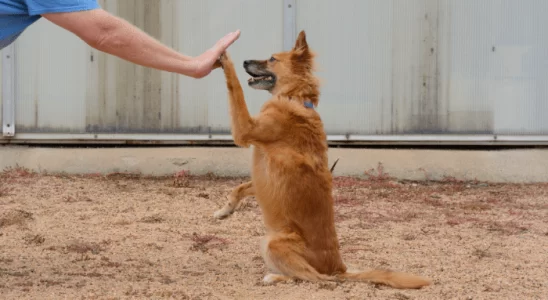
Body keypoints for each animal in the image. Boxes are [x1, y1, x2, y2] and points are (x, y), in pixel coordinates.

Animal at [216, 29, 430, 288]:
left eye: (272, 58)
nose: (246, 61)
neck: (295, 98)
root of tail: (339, 268)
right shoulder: (259, 180)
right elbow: (239, 188)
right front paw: (225, 210)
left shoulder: (245, 129)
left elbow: (234, 87)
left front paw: (225, 59)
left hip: (273, 242)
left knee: (312, 278)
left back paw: (275, 276)